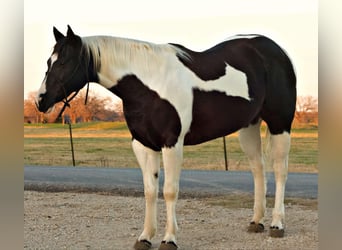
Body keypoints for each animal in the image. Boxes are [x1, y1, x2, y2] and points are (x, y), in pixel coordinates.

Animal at [35, 25, 296, 250]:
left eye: (65, 61)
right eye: (49, 61)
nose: (40, 100)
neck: (149, 85)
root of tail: (275, 50)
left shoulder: (172, 144)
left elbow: (170, 190)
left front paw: (169, 239)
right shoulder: (143, 145)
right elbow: (150, 191)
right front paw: (145, 237)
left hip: (280, 125)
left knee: (280, 171)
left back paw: (277, 224)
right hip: (249, 126)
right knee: (258, 169)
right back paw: (256, 221)